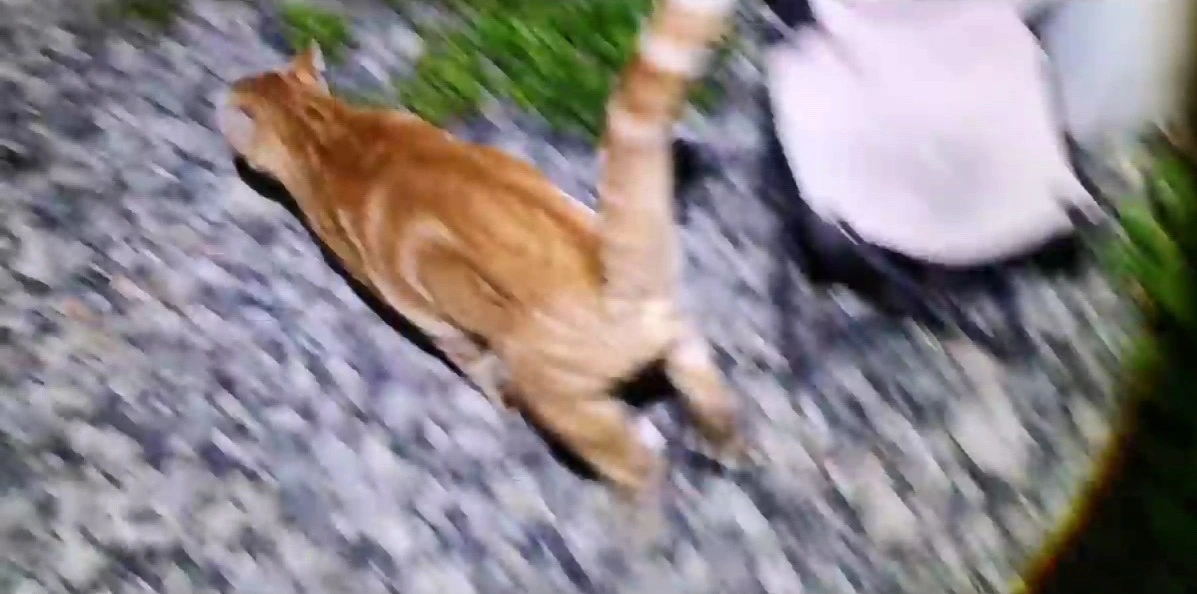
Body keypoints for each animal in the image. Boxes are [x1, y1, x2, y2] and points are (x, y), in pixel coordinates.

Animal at [217, 0, 742, 497]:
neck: (326, 133)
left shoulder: (429, 318)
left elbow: (475, 365)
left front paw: (497, 397)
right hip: (675, 333)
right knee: (699, 376)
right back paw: (724, 438)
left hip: (548, 383)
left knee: (625, 451)